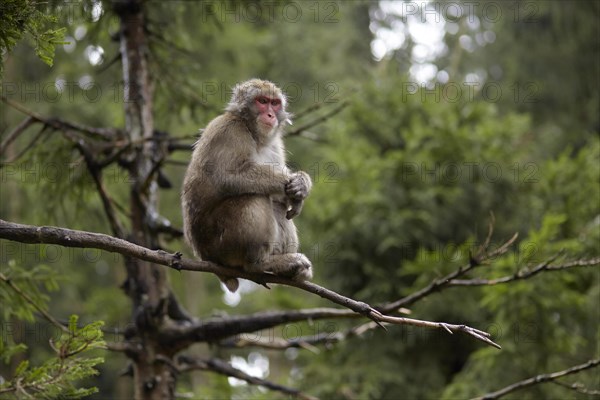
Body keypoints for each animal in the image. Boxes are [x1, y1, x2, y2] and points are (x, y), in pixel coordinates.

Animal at [182, 78, 314, 292]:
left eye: (274, 103)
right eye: (262, 101)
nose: (270, 115)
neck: (254, 134)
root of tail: (203, 254)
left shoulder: (275, 145)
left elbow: (281, 197)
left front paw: (301, 185)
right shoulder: (228, 131)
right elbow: (228, 177)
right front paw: (287, 181)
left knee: (277, 206)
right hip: (220, 244)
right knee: (254, 196)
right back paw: (259, 264)